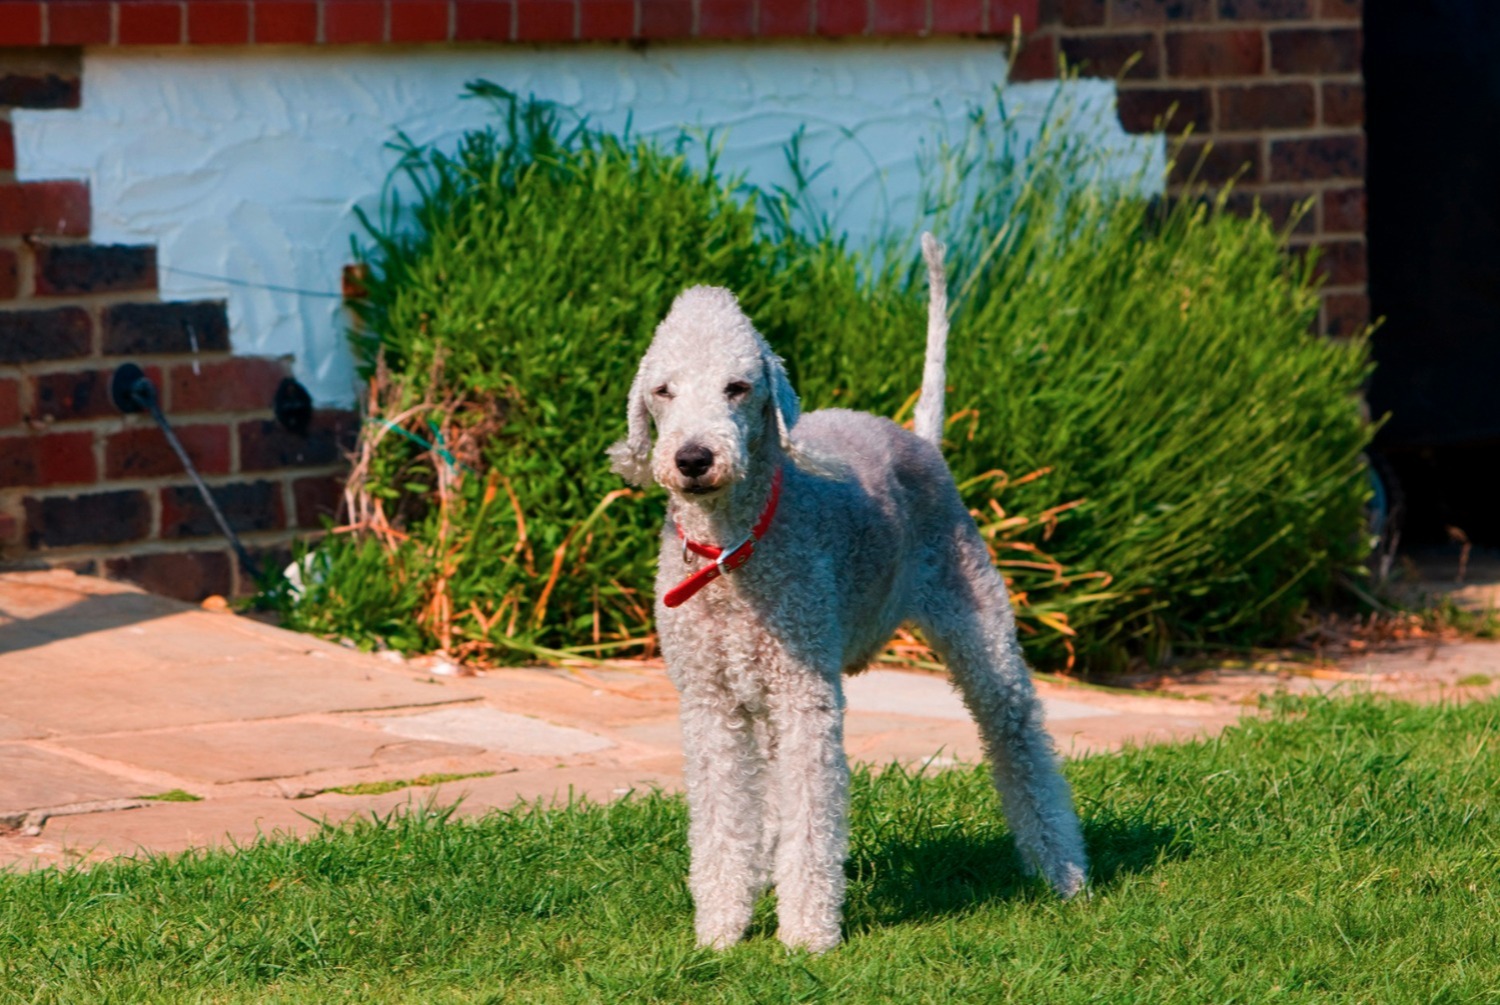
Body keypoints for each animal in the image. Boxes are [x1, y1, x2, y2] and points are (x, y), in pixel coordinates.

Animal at [609, 237, 1092, 954]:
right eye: (662, 391)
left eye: (737, 387)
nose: (694, 458)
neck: (733, 550)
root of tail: (917, 436)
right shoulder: (710, 701)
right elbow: (723, 817)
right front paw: (720, 929)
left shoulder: (806, 693)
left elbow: (814, 817)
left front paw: (807, 935)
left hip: (977, 620)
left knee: (1017, 735)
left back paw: (1062, 871)